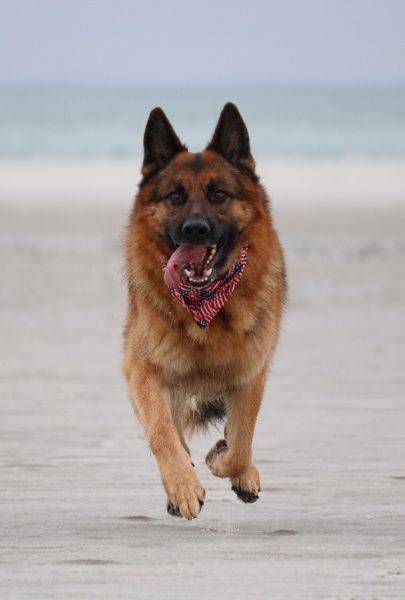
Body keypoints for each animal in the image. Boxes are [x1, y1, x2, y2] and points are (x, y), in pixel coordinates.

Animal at [124, 104, 286, 520]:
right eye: (175, 196)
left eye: (218, 194)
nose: (195, 229)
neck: (205, 308)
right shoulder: (144, 370)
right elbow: (163, 433)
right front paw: (182, 486)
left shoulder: (251, 373)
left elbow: (241, 441)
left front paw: (225, 462)